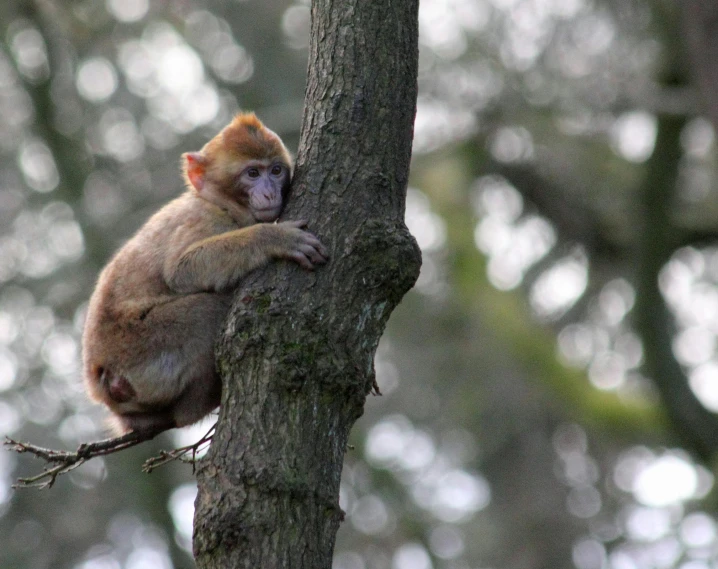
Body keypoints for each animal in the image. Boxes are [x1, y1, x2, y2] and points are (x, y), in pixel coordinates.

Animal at [83, 114, 330, 434]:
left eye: (275, 171)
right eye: (252, 173)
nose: (269, 192)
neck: (218, 203)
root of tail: (99, 379)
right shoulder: (204, 220)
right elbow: (181, 270)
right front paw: (274, 238)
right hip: (139, 346)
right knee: (208, 310)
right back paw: (199, 403)